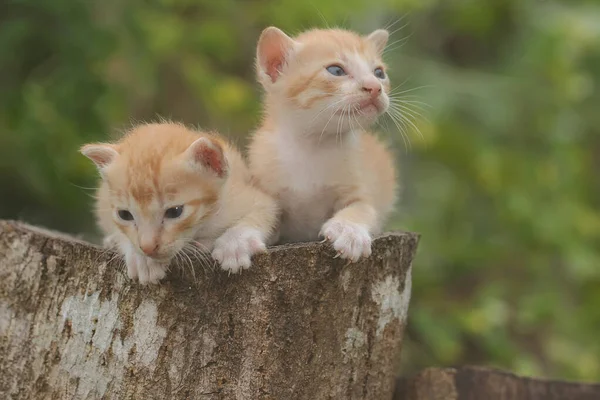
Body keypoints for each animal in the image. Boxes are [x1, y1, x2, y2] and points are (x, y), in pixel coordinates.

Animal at [81, 122, 280, 284]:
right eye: (125, 215)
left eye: (175, 212)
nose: (147, 248)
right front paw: (142, 259)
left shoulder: (252, 196)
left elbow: (264, 211)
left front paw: (235, 244)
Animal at [248, 25, 398, 262]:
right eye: (336, 71)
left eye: (379, 73)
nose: (375, 87)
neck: (313, 145)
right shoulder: (266, 188)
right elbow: (256, 210)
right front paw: (235, 240)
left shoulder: (360, 187)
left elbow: (362, 208)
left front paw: (349, 231)